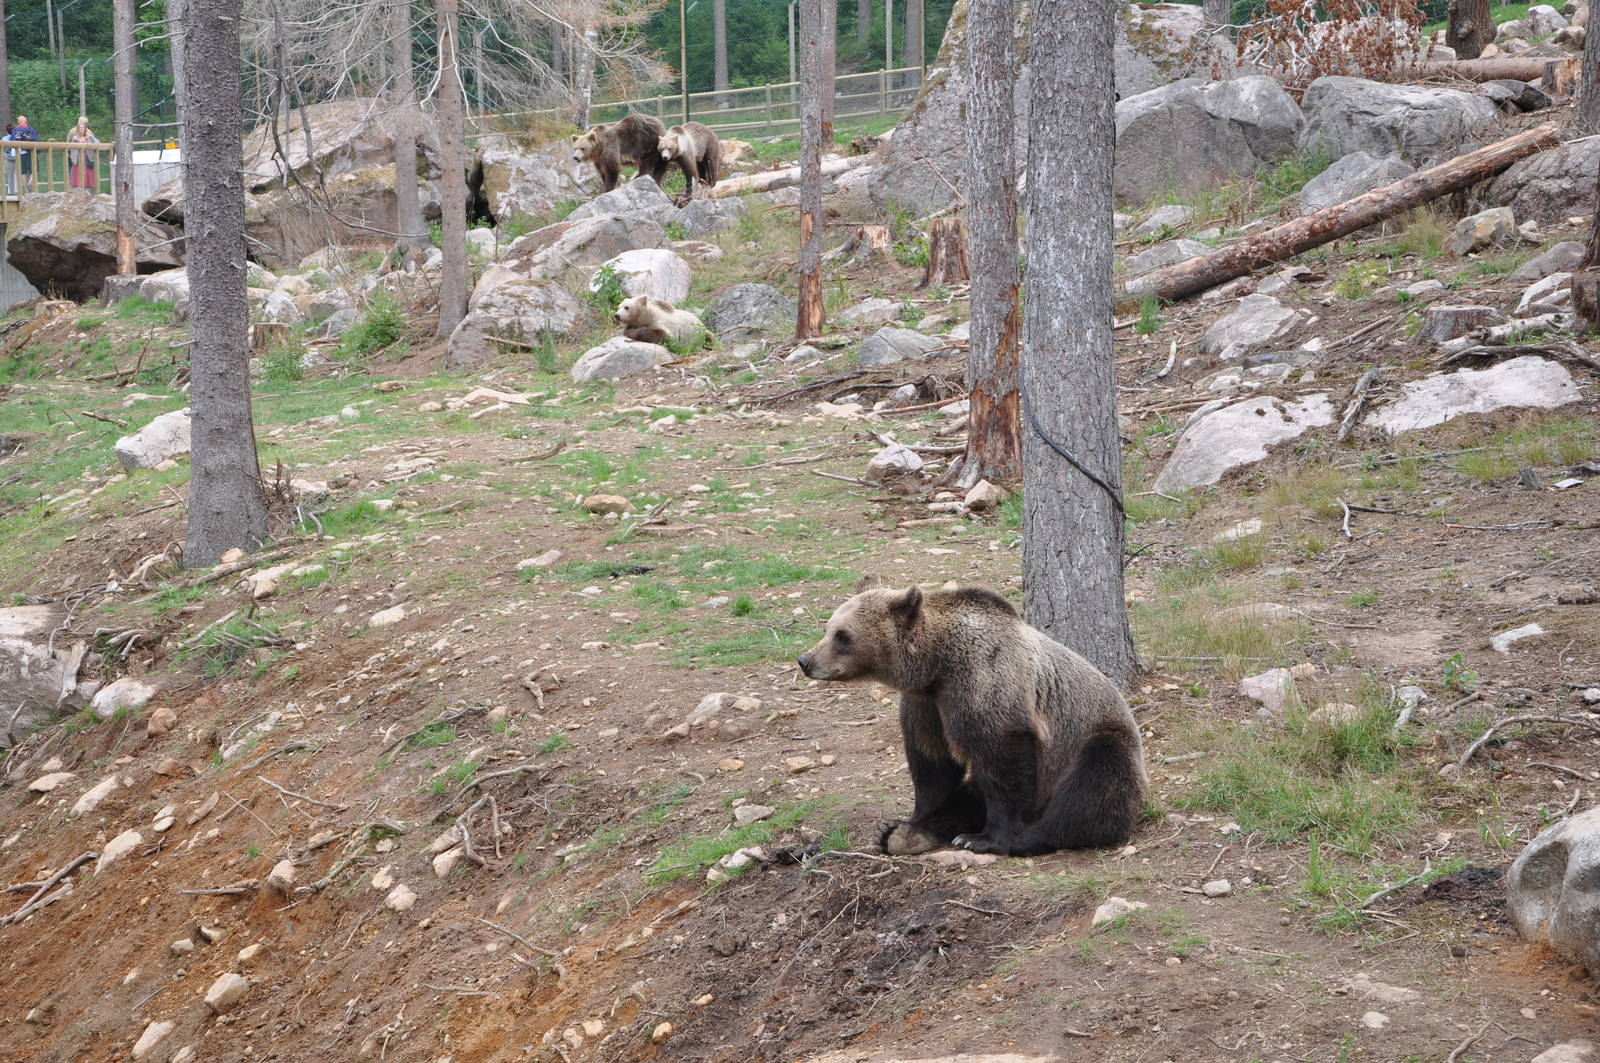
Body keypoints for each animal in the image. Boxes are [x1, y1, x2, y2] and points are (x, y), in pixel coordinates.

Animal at [797, 578, 1147, 857]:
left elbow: (1002, 765)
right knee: (970, 795)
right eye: (828, 628)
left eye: (842, 635)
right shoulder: (926, 706)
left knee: (1092, 788)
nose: (805, 660)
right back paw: (900, 834)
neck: (937, 666)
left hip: (1093, 741)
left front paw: (985, 839)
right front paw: (910, 821)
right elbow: (932, 767)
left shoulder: (986, 685)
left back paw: (1026, 837)